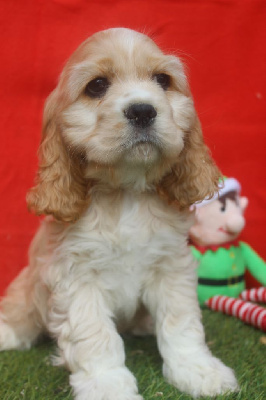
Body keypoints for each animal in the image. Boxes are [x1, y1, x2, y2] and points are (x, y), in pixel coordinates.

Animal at [0, 28, 237, 400]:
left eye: (162, 80)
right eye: (97, 86)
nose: (142, 110)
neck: (125, 192)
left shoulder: (171, 265)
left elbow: (181, 323)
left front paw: (199, 370)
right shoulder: (76, 277)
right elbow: (95, 336)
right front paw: (107, 386)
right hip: (29, 283)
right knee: (21, 307)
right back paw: (8, 331)